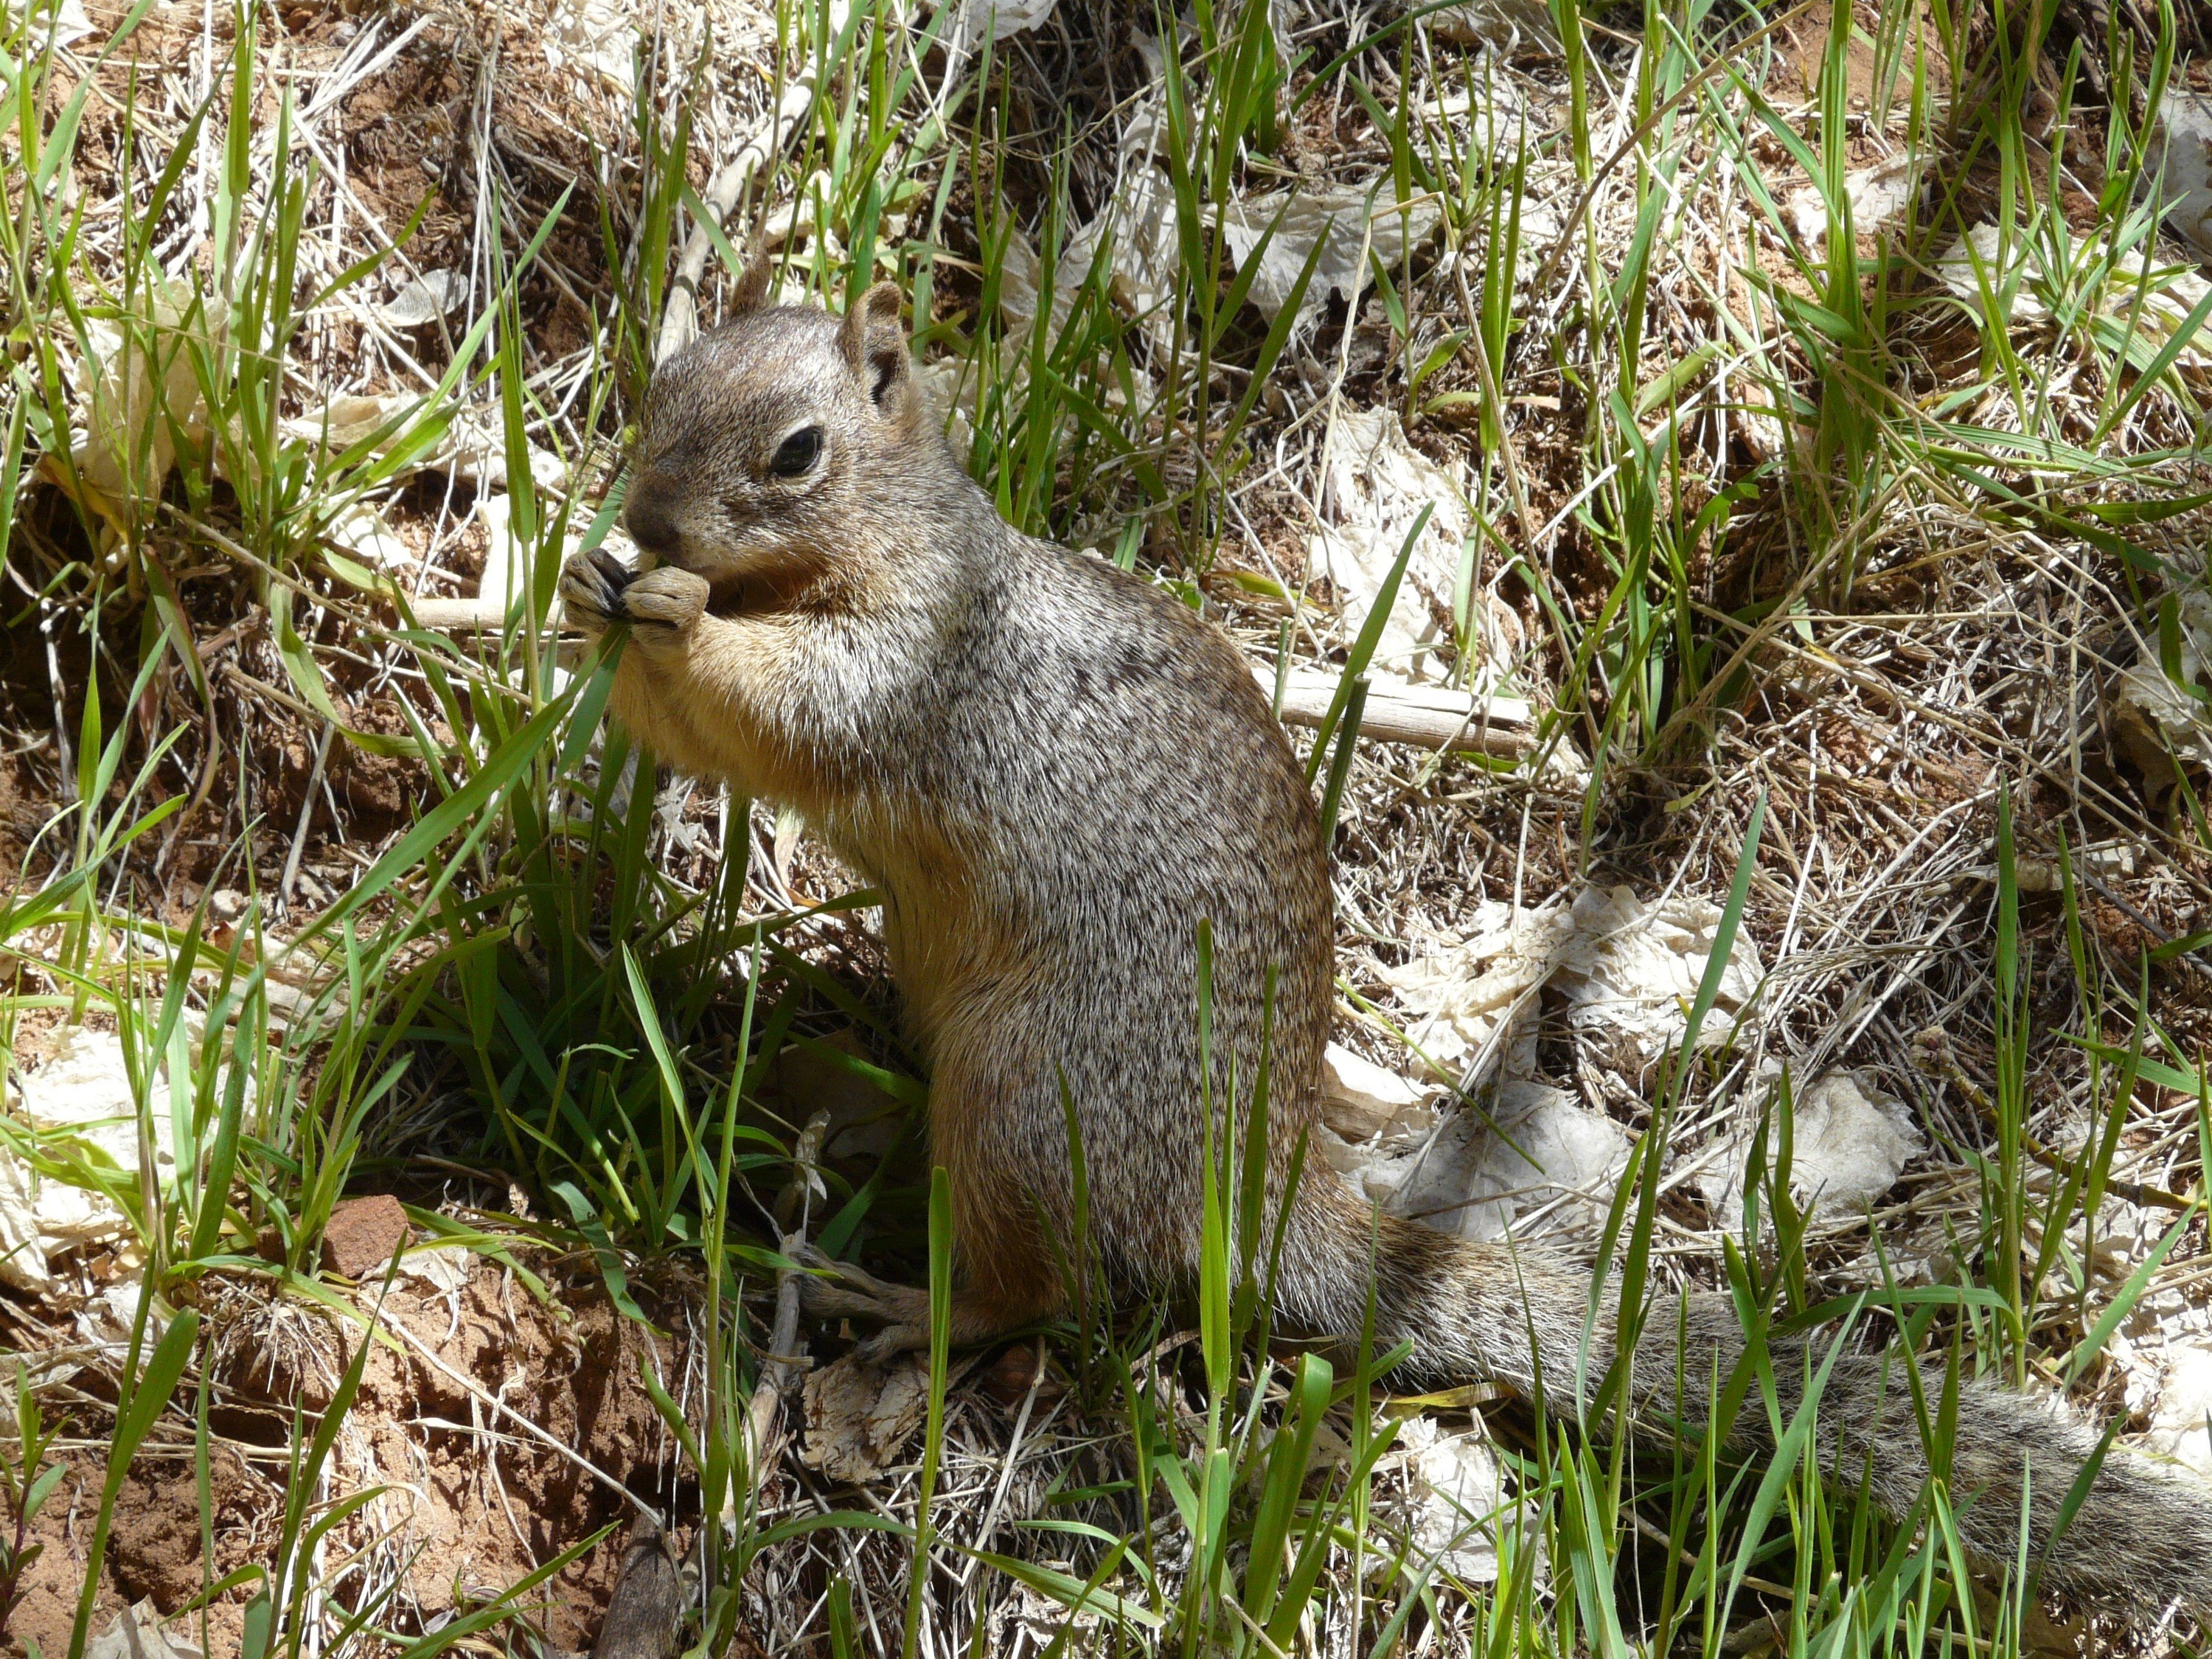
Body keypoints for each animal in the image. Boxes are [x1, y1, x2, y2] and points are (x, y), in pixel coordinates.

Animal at [557, 257, 2212, 1610]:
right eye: (661, 384)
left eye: (797, 453)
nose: (646, 519)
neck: (898, 541)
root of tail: (1257, 1196)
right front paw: (593, 586)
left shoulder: (912, 664)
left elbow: (784, 702)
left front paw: (679, 611)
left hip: (1029, 1101)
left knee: (1042, 1293)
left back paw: (899, 1295)